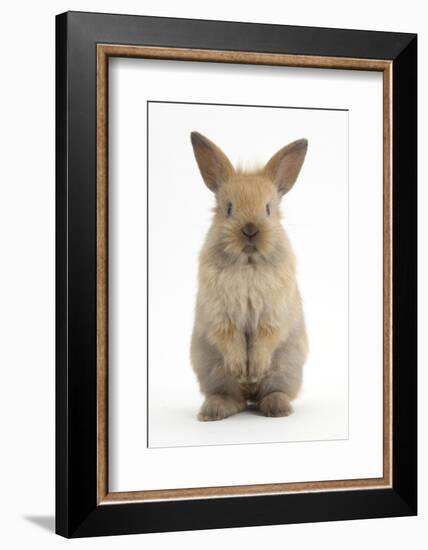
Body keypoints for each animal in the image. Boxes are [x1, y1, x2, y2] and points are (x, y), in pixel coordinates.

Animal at [191, 133, 308, 422]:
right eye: (228, 208)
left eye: (268, 209)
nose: (250, 230)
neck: (247, 264)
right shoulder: (220, 315)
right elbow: (230, 338)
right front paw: (240, 368)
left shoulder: (273, 315)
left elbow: (264, 338)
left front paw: (253, 369)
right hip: (213, 371)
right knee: (233, 398)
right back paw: (214, 410)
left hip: (285, 369)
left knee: (270, 393)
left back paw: (277, 408)